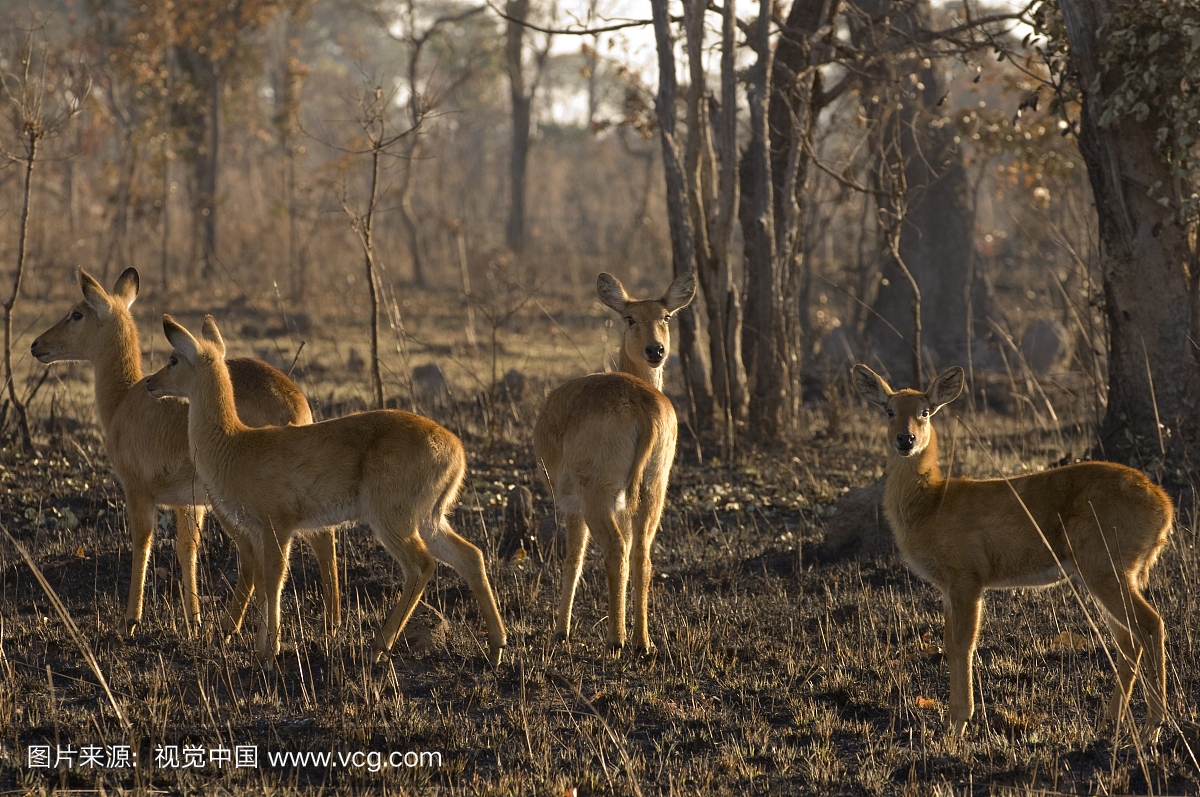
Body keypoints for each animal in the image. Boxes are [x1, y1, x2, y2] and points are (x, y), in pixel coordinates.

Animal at [30, 271, 340, 638]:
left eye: (77, 313)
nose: (36, 344)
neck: (122, 401)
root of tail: (291, 403)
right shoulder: (188, 503)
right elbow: (186, 550)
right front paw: (193, 620)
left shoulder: (137, 489)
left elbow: (142, 542)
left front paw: (130, 621)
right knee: (321, 537)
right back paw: (330, 623)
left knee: (255, 553)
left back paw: (232, 626)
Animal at [145, 312, 506, 667]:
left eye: (174, 359)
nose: (150, 382)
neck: (234, 445)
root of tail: (456, 448)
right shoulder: (260, 530)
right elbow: (263, 583)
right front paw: (261, 649)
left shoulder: (277, 525)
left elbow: (274, 580)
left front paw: (269, 652)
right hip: (431, 518)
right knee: (470, 555)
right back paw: (496, 648)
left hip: (392, 518)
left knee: (421, 565)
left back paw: (377, 647)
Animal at [532, 268, 696, 652]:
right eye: (630, 317)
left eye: (666, 316)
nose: (656, 350)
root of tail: (643, 407)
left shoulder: (570, 500)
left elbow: (573, 557)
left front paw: (560, 631)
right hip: (654, 485)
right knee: (642, 553)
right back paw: (642, 642)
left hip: (597, 490)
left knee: (615, 549)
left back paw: (615, 640)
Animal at [854, 364, 1171, 739]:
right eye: (889, 410)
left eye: (925, 411)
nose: (906, 440)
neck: (932, 505)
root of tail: (1165, 508)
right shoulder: (948, 586)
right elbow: (949, 644)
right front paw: (951, 722)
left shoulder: (968, 574)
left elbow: (963, 644)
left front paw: (958, 724)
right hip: (1108, 568)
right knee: (1127, 636)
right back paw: (1113, 719)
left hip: (1105, 560)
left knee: (1149, 624)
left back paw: (1154, 725)